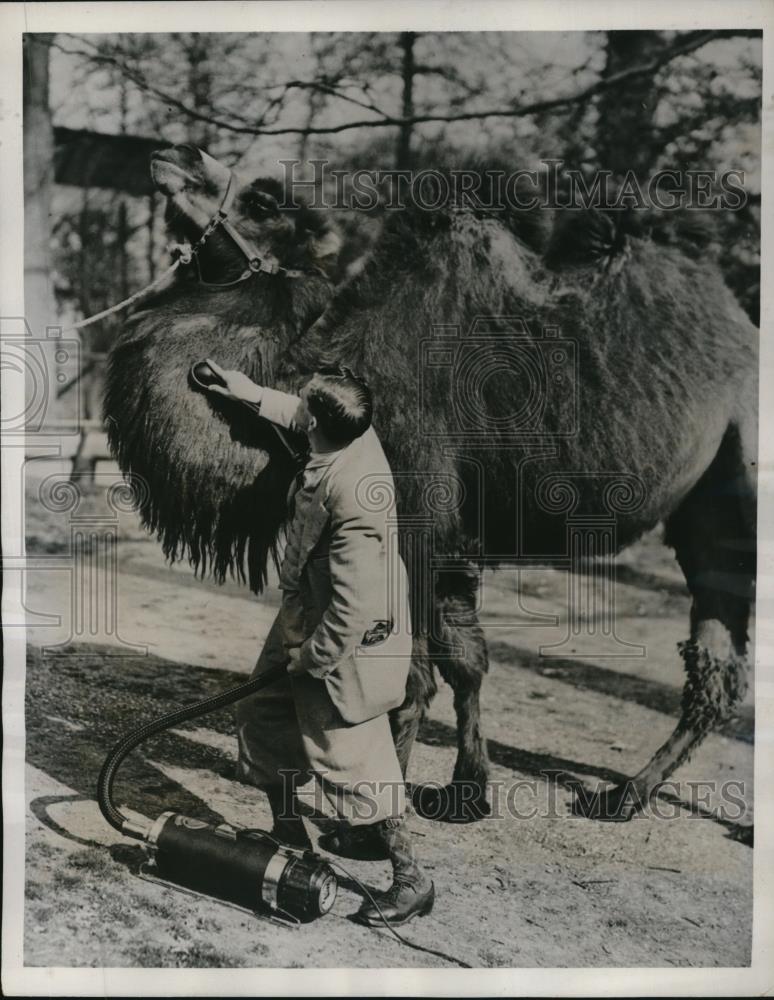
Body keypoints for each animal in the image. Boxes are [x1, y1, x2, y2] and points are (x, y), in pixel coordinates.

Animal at [103, 145, 756, 824]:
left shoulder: (412, 520)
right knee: (717, 660)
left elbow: (412, 676)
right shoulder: (448, 540)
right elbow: (466, 661)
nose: (175, 154)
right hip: (704, 508)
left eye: (262, 202)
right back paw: (624, 796)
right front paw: (464, 792)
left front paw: (387, 810)